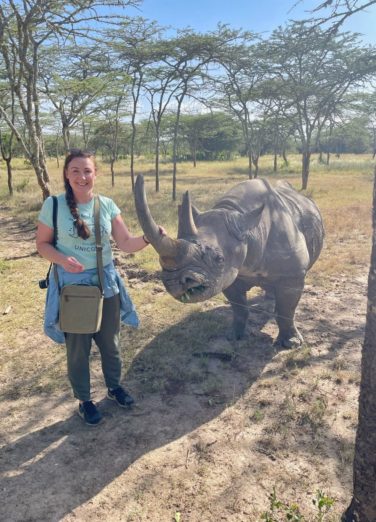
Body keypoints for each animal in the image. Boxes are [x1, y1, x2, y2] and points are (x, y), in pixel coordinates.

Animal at [134, 173, 324, 348]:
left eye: (219, 259)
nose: (173, 282)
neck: (250, 230)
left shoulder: (292, 274)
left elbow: (286, 310)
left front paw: (290, 343)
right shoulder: (228, 275)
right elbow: (239, 307)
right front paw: (234, 335)